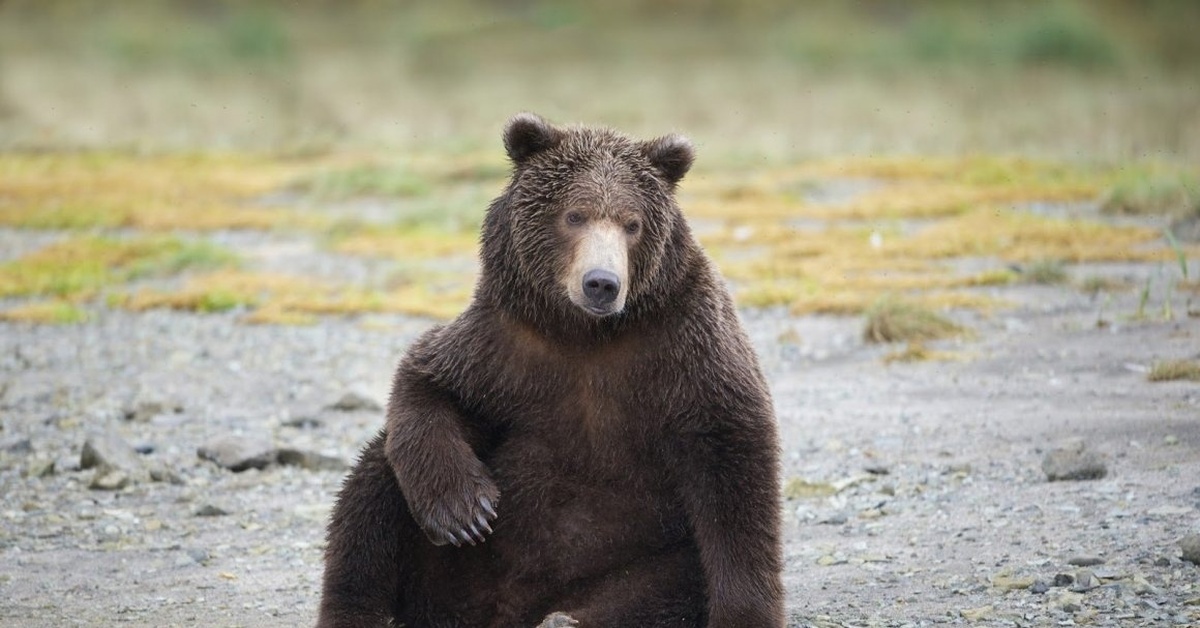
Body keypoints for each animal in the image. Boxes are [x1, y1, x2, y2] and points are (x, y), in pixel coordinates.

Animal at [316, 114, 787, 628]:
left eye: (632, 223)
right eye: (574, 215)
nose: (602, 283)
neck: (584, 335)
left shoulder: (684, 348)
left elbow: (733, 470)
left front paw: (745, 612)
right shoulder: (504, 346)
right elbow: (428, 380)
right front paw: (465, 510)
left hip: (650, 561)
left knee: (658, 595)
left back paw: (566, 618)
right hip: (446, 574)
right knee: (370, 496)